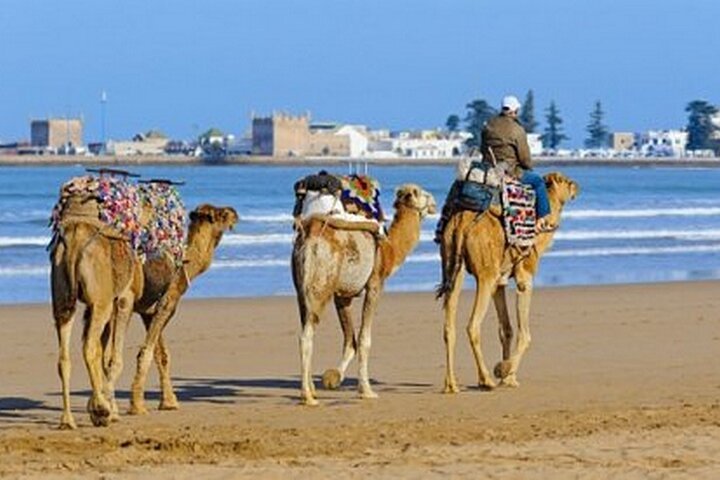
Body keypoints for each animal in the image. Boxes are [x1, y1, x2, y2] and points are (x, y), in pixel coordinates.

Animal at [291, 184, 436, 405]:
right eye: (422, 194)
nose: (434, 202)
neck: (389, 250)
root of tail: (309, 237)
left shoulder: (342, 294)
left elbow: (350, 339)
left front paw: (333, 378)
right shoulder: (375, 284)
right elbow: (364, 339)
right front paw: (366, 390)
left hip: (300, 288)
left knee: (306, 327)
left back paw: (311, 391)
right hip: (321, 284)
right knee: (306, 336)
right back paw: (307, 397)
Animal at [437, 172, 578, 393]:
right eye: (566, 181)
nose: (577, 187)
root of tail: (461, 224)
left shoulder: (500, 282)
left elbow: (506, 329)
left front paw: (507, 377)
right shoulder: (524, 276)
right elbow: (525, 334)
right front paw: (504, 372)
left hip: (453, 266)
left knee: (448, 327)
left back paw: (451, 384)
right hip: (485, 275)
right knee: (472, 326)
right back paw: (486, 379)